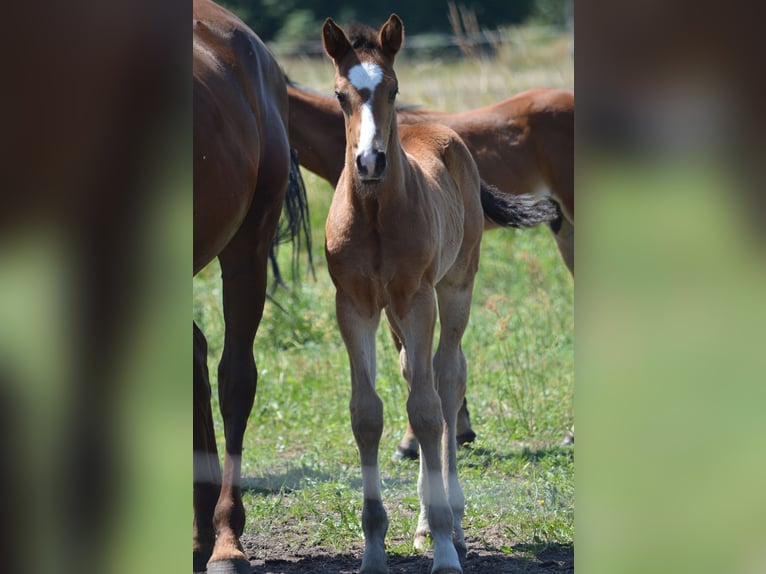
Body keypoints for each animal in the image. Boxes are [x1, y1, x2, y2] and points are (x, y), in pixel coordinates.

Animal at [322, 15, 560, 573]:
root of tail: (445, 131)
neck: (375, 216)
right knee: (417, 373)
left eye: (393, 88)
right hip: (397, 312)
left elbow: (428, 412)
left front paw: (447, 551)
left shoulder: (418, 298)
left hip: (454, 288)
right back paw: (425, 523)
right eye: (340, 94)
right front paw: (373, 552)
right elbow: (367, 414)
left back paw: (451, 523)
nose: (370, 162)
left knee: (448, 380)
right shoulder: (355, 305)